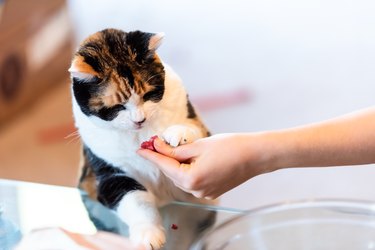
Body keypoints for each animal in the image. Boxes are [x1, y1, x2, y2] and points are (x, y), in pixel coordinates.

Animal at [70, 28, 216, 249]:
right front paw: (149, 234)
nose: (139, 120)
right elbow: (136, 201)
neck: (138, 135)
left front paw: (178, 134)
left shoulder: (197, 123)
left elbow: (192, 128)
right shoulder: (108, 176)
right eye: (117, 107)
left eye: (147, 95)